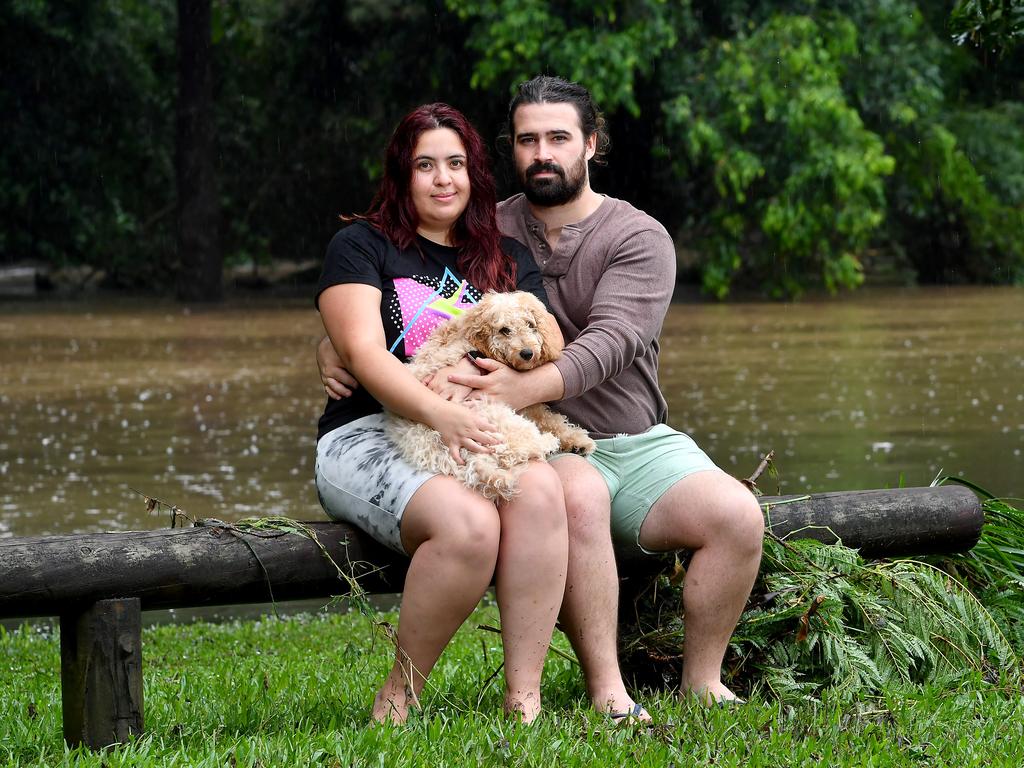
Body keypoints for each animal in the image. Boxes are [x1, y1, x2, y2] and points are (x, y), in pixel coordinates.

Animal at [387, 290, 598, 501]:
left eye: (530, 324)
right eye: (505, 330)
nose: (527, 353)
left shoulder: (527, 401)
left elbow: (552, 419)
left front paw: (577, 440)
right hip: (492, 418)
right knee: (516, 449)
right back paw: (548, 443)